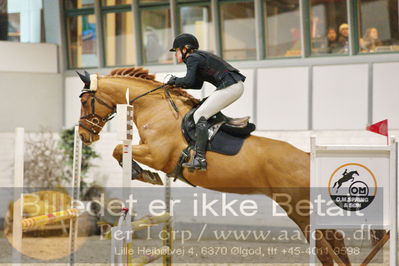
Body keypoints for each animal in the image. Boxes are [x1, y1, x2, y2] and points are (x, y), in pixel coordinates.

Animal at [76, 67, 352, 264]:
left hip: (300, 212)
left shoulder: (157, 154)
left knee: (325, 250)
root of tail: (306, 157)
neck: (155, 108)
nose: (82, 135)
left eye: (85, 101)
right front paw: (145, 174)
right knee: (336, 239)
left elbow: (118, 149)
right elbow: (119, 150)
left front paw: (142, 174)